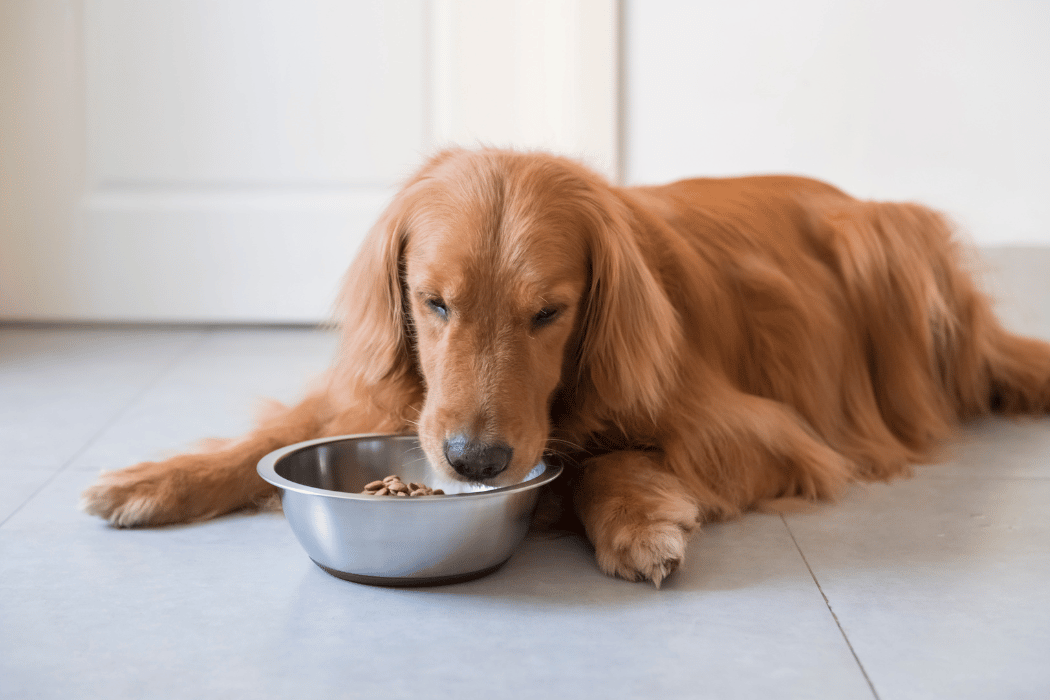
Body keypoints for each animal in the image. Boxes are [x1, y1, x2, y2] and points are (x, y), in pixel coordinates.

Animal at [84, 146, 1050, 587]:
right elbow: (277, 434)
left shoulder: (768, 435)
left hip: (887, 247)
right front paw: (156, 478)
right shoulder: (390, 395)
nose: (474, 462)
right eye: (434, 303)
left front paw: (635, 521)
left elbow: (598, 460)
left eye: (548, 313)